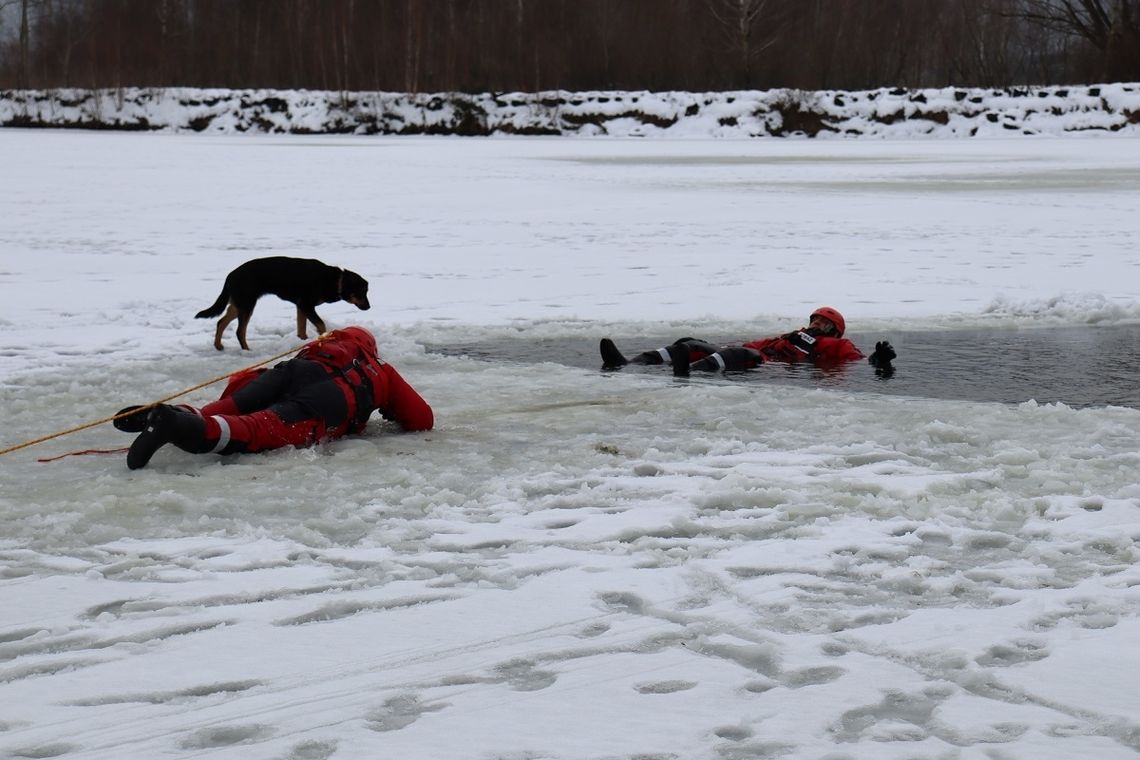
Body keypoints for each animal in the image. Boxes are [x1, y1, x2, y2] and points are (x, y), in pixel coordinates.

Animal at [194, 255, 369, 350]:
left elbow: (301, 328)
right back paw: (247, 350)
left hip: (240, 304)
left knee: (221, 321)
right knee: (239, 331)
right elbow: (320, 324)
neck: (336, 281)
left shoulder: (301, 306)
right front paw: (323, 338)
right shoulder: (306, 305)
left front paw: (303, 341)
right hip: (247, 304)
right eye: (362, 292)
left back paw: (218, 345)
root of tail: (230, 275)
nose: (368, 307)